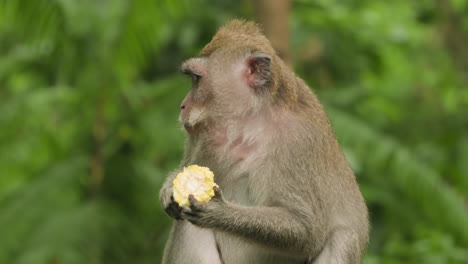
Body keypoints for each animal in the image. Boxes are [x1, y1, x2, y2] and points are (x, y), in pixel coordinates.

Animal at [161, 19, 370, 264]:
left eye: (196, 79)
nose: (183, 106)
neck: (250, 124)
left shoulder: (298, 141)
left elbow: (307, 230)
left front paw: (218, 212)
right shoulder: (200, 136)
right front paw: (170, 185)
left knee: (343, 237)